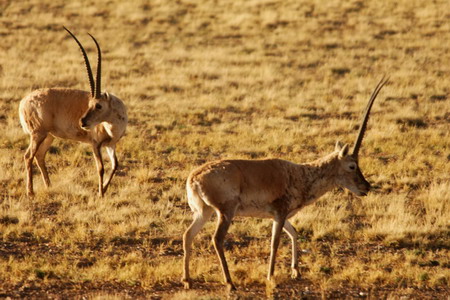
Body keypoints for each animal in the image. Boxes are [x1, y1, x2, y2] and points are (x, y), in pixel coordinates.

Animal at [18, 27, 127, 197]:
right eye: (90, 104)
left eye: (98, 105)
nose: (82, 122)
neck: (113, 123)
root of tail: (23, 102)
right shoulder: (95, 144)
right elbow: (101, 168)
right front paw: (100, 194)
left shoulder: (111, 144)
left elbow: (115, 165)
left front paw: (104, 189)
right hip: (37, 134)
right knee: (29, 156)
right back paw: (30, 192)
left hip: (48, 136)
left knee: (40, 155)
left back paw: (49, 186)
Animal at [181, 77, 388, 290]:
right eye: (352, 166)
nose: (366, 187)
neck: (301, 174)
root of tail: (194, 178)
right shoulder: (279, 213)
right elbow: (276, 241)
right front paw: (270, 276)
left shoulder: (281, 216)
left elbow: (294, 233)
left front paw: (296, 271)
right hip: (226, 212)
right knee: (217, 239)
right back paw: (230, 282)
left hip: (203, 212)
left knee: (188, 235)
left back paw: (187, 280)